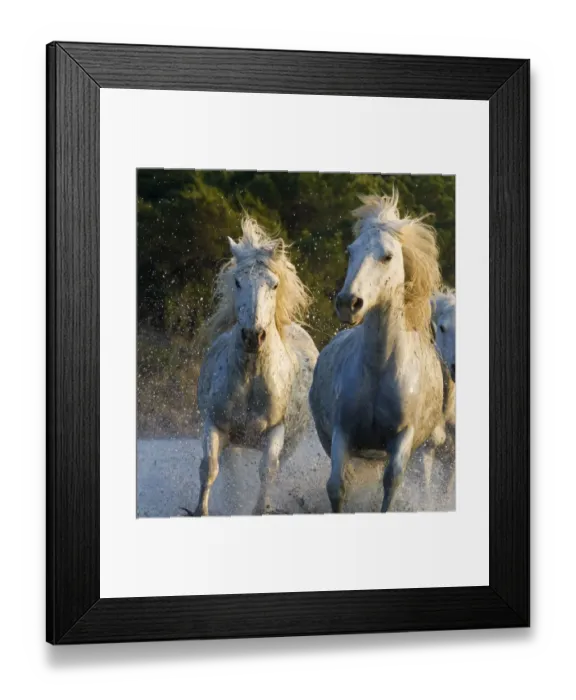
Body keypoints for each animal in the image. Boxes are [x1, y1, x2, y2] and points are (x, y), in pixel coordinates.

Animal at [192, 216, 319, 516]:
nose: (253, 336)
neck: (252, 377)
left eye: (274, 284)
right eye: (238, 281)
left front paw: (260, 508)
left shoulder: (276, 432)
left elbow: (267, 471)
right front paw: (202, 510)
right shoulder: (215, 425)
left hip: (291, 442)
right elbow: (210, 468)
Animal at [309, 190, 454, 513]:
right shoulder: (342, 431)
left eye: (387, 256)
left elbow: (391, 483)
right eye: (350, 251)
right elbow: (337, 486)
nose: (348, 303)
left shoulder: (403, 437)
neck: (378, 367)